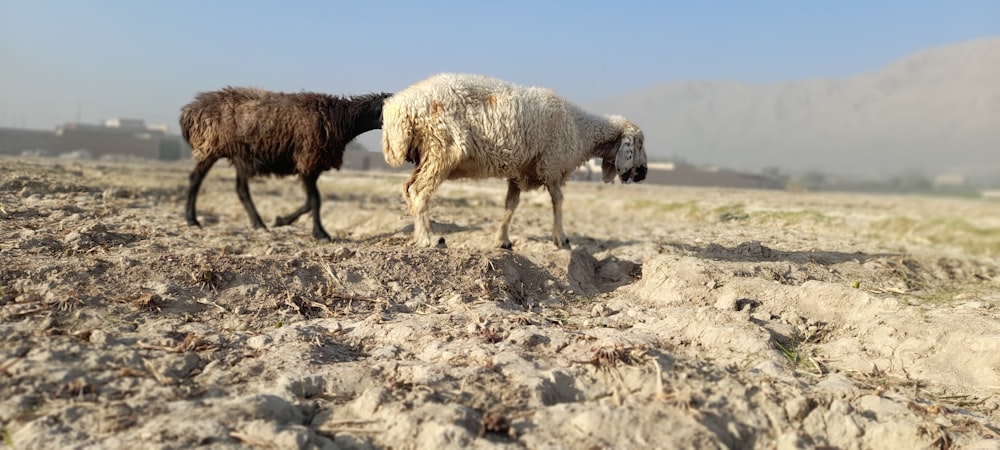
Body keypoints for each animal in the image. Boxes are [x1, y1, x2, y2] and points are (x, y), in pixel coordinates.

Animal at [182, 86, 392, 241]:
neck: (340, 120)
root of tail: (190, 111)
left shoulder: (311, 165)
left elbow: (310, 201)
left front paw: (281, 220)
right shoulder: (307, 160)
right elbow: (315, 201)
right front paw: (320, 233)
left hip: (240, 156)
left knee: (241, 190)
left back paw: (258, 224)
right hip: (211, 147)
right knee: (196, 179)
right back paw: (192, 220)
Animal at [380, 74, 648, 250]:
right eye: (639, 144)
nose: (644, 173)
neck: (582, 129)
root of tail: (398, 109)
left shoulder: (520, 172)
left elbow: (511, 205)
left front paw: (502, 240)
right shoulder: (551, 164)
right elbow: (558, 201)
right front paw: (560, 238)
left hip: (429, 154)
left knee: (408, 188)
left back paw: (418, 233)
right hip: (443, 148)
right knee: (419, 191)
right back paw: (428, 238)